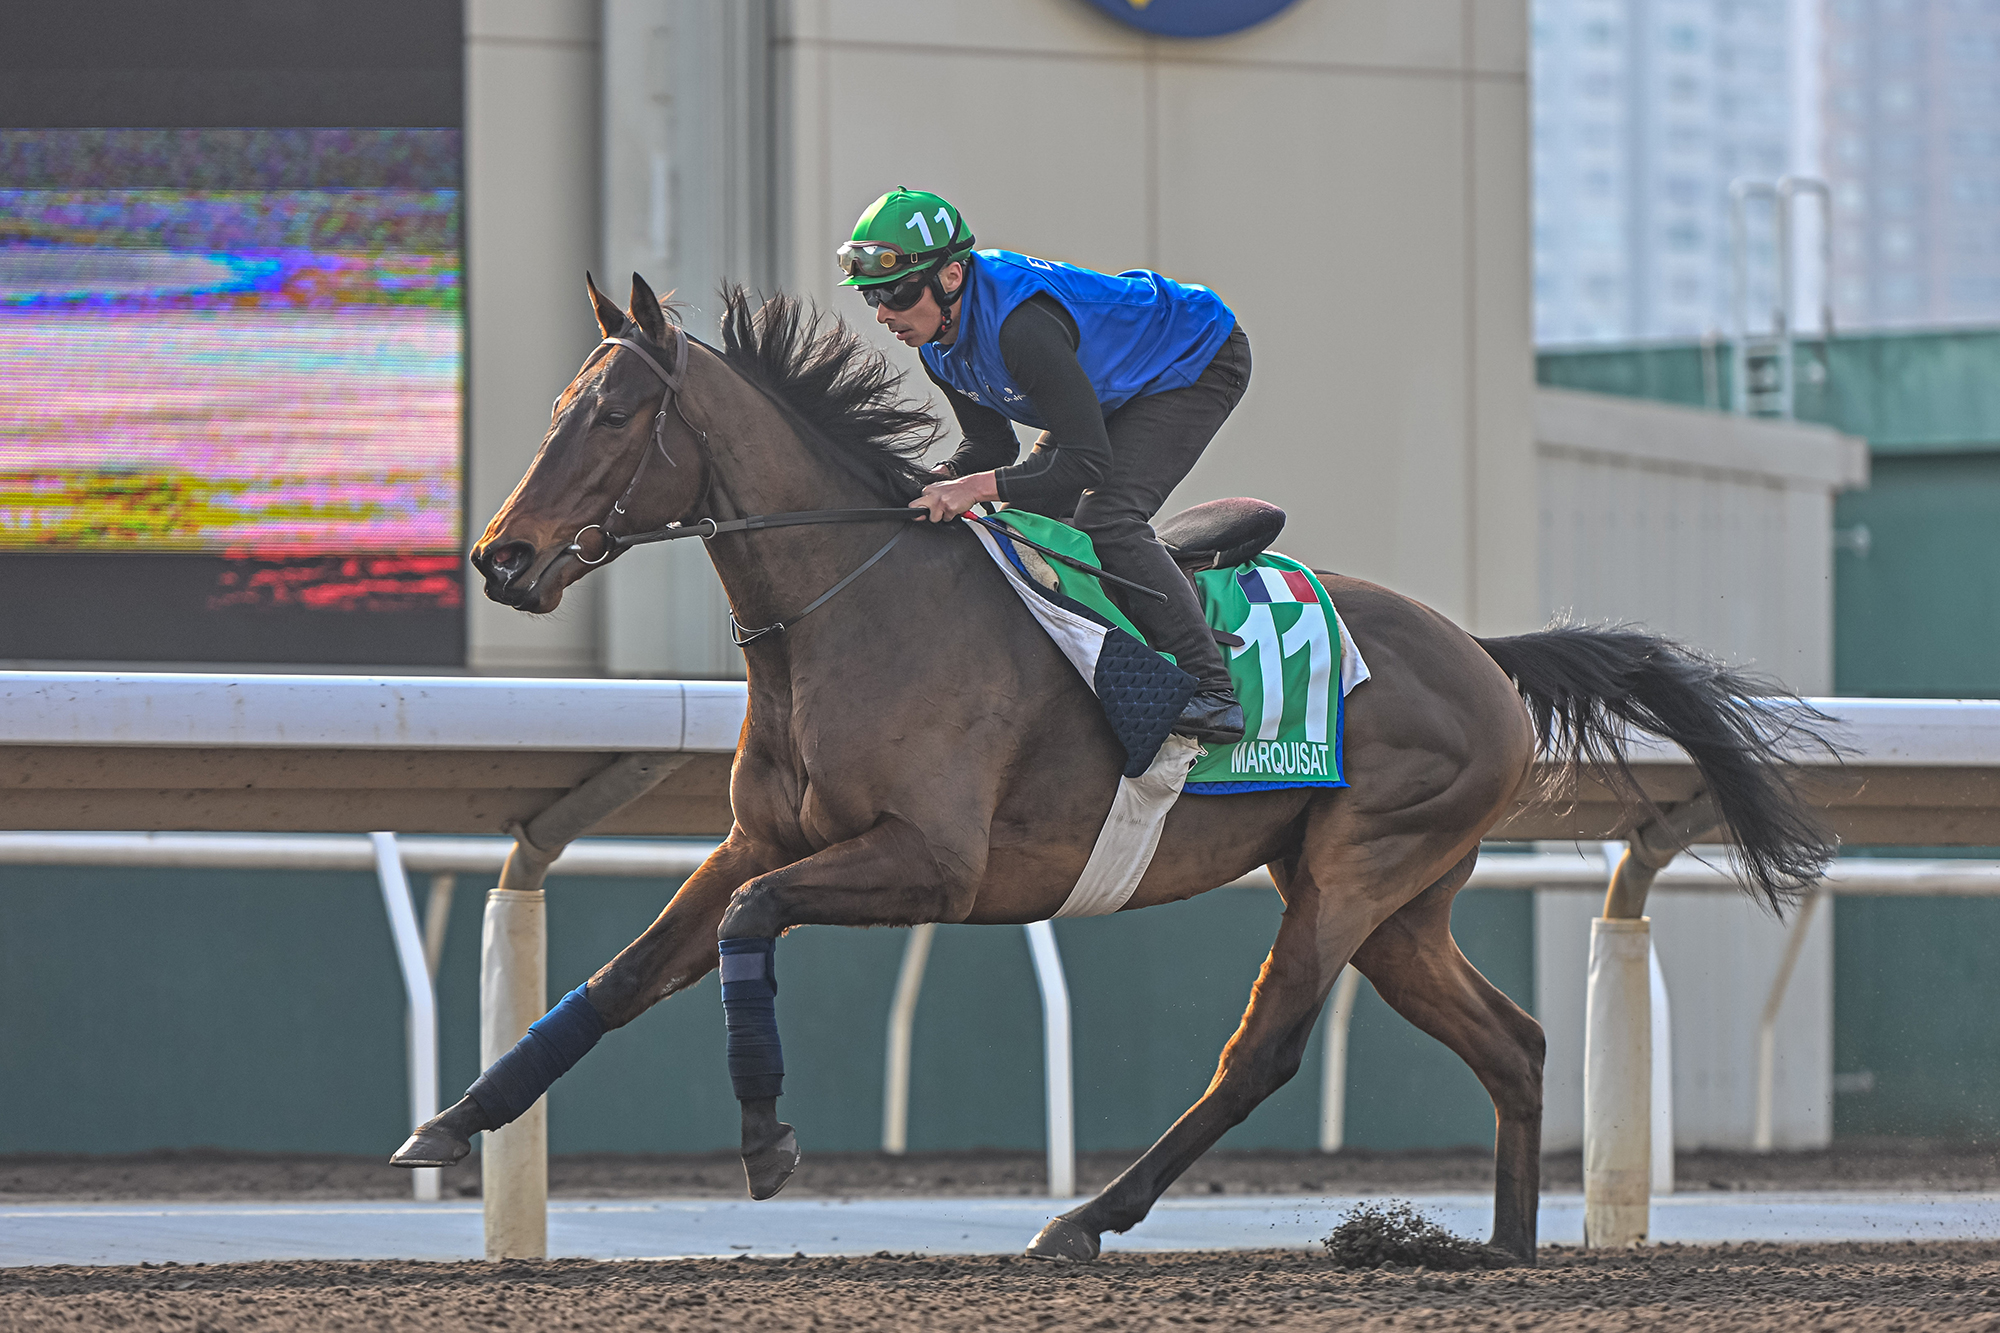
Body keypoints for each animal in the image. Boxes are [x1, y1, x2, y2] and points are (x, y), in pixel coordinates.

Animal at [398, 272, 1832, 1256]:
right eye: (559, 406)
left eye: (616, 412)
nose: (500, 558)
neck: (850, 609)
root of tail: (1478, 651)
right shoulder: (765, 837)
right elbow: (624, 975)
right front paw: (455, 1121)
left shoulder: (931, 864)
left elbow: (749, 924)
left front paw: (765, 1137)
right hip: (1401, 901)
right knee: (1516, 1045)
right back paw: (1505, 1250)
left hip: (1358, 870)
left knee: (1261, 1053)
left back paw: (1084, 1216)